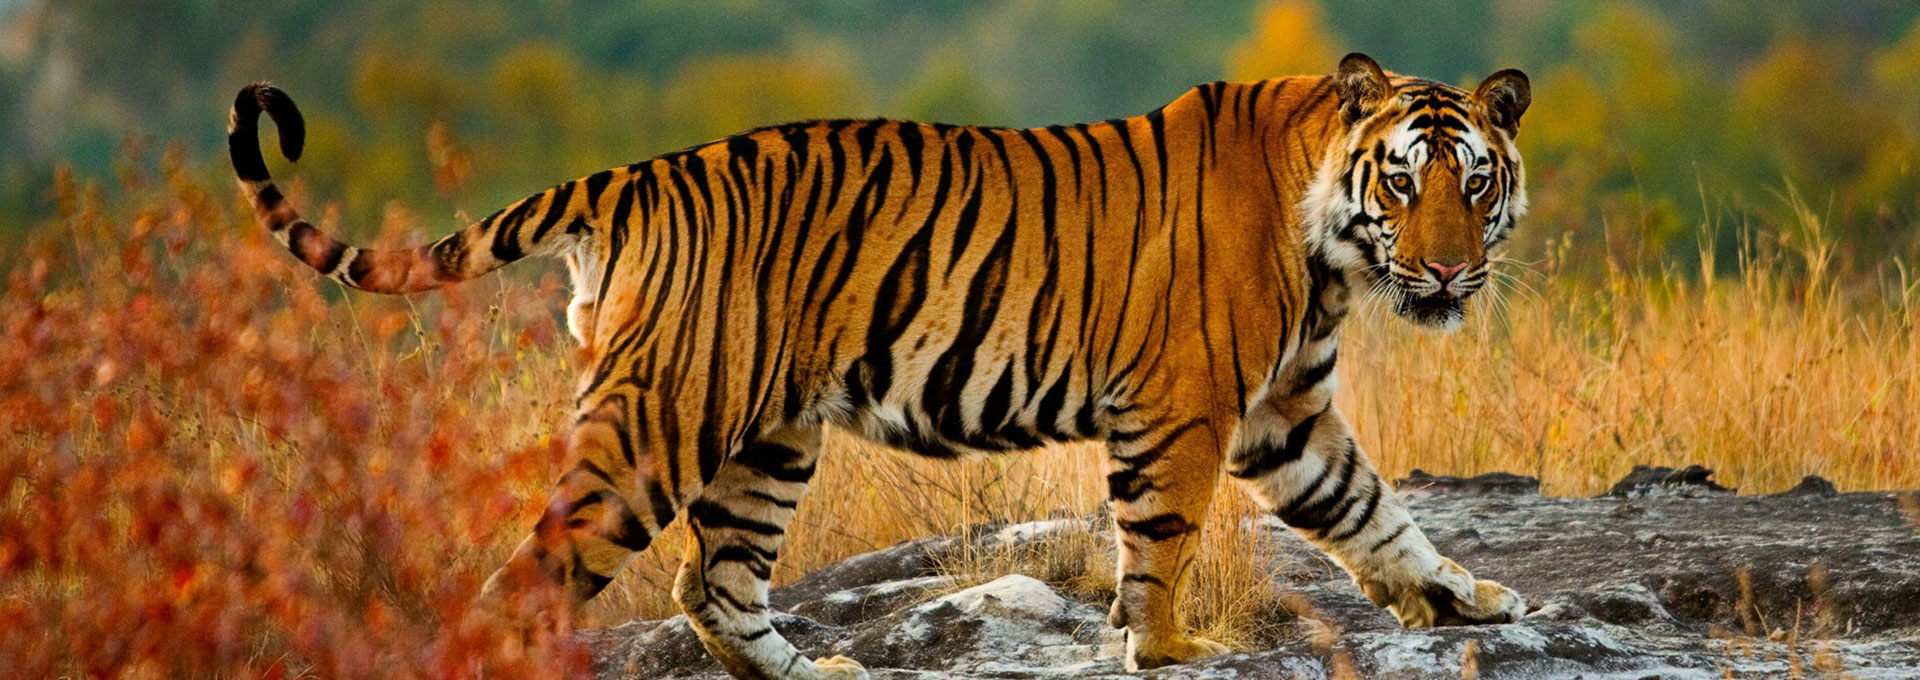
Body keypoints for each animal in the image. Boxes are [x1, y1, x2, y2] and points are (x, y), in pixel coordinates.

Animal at [229, 52, 1532, 677]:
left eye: (1476, 184)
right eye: (1402, 183)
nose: (1450, 272)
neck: (1333, 251)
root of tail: (634, 173)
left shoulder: (1285, 411)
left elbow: (1372, 508)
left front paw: (1461, 596)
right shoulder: (1186, 407)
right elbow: (1161, 542)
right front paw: (1167, 649)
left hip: (765, 439)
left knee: (713, 583)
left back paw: (820, 672)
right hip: (657, 425)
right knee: (537, 577)